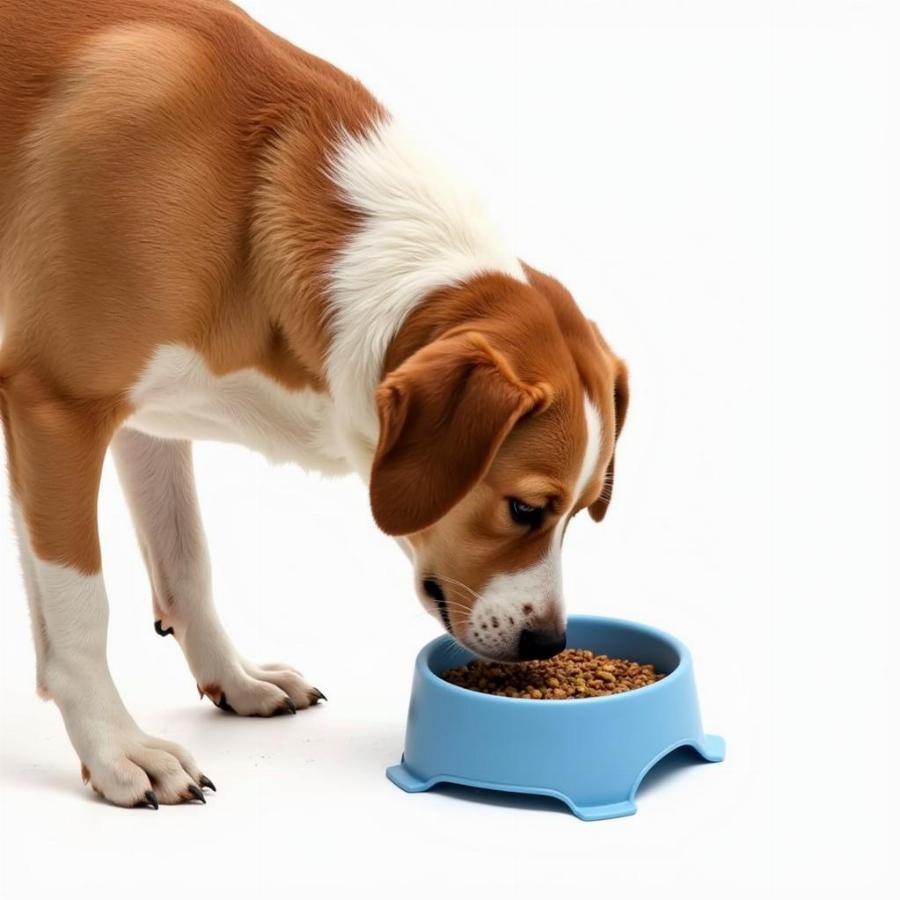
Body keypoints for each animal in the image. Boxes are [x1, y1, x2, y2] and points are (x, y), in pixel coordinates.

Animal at [0, 0, 628, 808]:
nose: (549, 643)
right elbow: (81, 610)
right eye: (525, 509)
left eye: (581, 513)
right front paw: (117, 749)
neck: (242, 198)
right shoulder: (54, 408)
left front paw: (234, 678)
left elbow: (187, 563)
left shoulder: (147, 423)